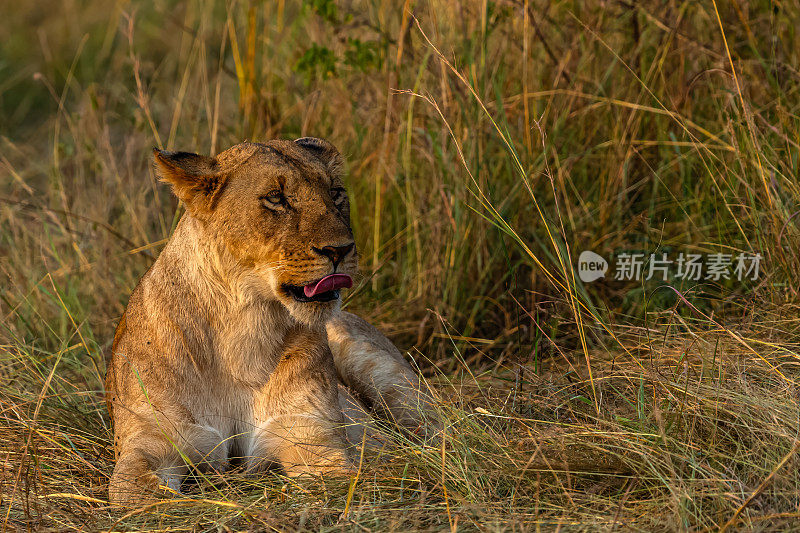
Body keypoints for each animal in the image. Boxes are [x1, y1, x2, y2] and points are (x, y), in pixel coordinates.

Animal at [105, 137, 434, 502]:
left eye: (335, 193)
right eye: (276, 198)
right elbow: (142, 494)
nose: (340, 249)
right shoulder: (152, 441)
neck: (243, 328)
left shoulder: (310, 436)